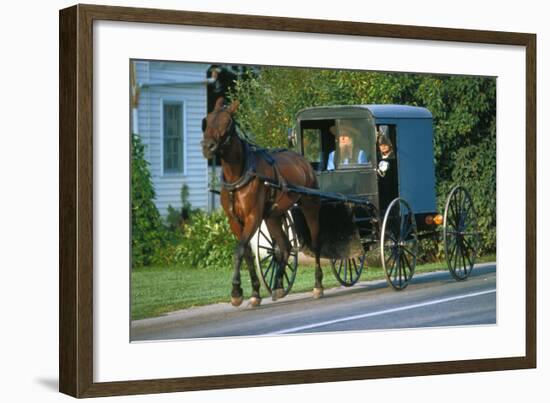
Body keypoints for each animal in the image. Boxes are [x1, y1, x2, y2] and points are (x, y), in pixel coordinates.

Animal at [202, 99, 324, 308]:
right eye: (207, 119)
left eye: (227, 122)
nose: (207, 146)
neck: (239, 174)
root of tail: (303, 161)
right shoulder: (235, 220)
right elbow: (247, 254)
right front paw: (255, 292)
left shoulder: (253, 216)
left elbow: (239, 250)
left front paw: (236, 291)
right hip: (273, 216)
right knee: (284, 246)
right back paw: (278, 285)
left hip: (310, 206)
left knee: (315, 243)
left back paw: (317, 286)